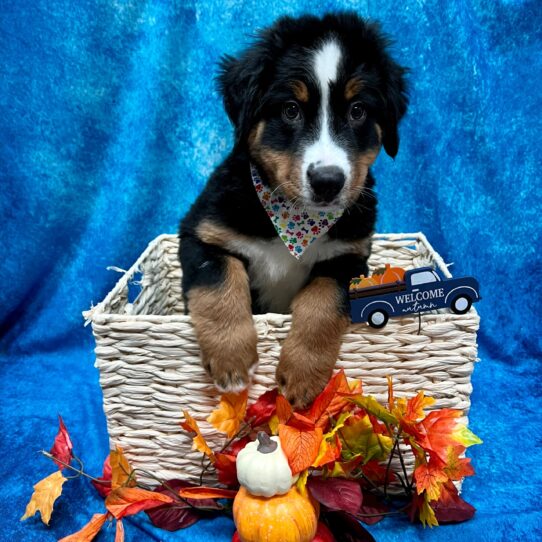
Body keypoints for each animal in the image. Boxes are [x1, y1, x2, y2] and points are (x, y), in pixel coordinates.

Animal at [178, 11, 408, 408]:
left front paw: (301, 377)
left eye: (357, 111)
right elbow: (220, 282)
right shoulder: (203, 234)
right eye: (290, 110)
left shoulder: (349, 258)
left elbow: (323, 300)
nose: (328, 181)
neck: (293, 219)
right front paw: (232, 362)